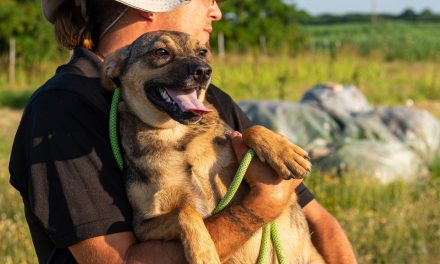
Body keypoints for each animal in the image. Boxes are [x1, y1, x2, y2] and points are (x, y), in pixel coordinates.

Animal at [102, 29, 324, 262]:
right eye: (161, 52)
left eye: (202, 52)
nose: (204, 71)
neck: (177, 137)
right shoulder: (144, 225)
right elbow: (185, 211)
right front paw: (204, 252)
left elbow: (247, 130)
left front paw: (284, 152)